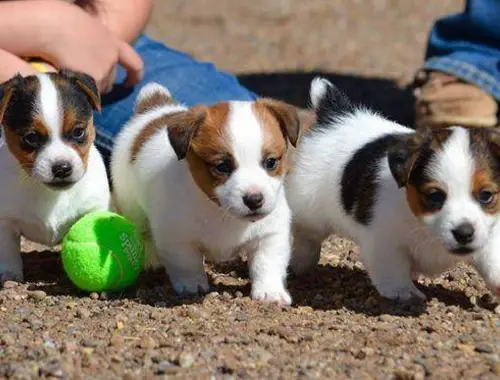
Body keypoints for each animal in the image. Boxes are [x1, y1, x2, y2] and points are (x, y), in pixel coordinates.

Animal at [0, 70, 110, 280]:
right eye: (31, 137)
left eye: (78, 131)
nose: (62, 168)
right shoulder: (5, 221)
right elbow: (7, 250)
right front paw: (10, 276)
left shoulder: (95, 207)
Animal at [111, 83, 298, 306]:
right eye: (222, 166)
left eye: (270, 162)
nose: (254, 199)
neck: (219, 211)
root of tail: (154, 108)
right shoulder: (176, 238)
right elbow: (187, 263)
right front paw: (192, 285)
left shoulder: (271, 234)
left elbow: (267, 263)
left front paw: (270, 291)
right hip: (131, 205)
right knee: (141, 230)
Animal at [288, 77, 500, 302]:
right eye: (434, 196)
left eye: (486, 195)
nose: (464, 233)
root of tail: (337, 115)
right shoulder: (384, 240)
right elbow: (393, 268)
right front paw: (403, 291)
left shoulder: (490, 234)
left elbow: (492, 259)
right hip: (308, 208)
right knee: (307, 235)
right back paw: (301, 261)